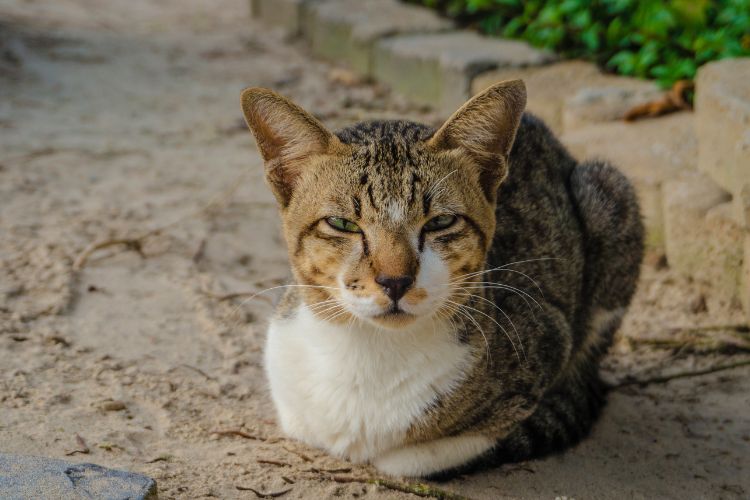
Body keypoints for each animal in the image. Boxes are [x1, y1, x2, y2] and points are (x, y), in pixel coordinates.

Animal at [241, 80, 648, 478]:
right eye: (342, 224)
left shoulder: (549, 335)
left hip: (609, 193)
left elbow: (429, 453)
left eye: (440, 222)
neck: (370, 350)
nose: (395, 280)